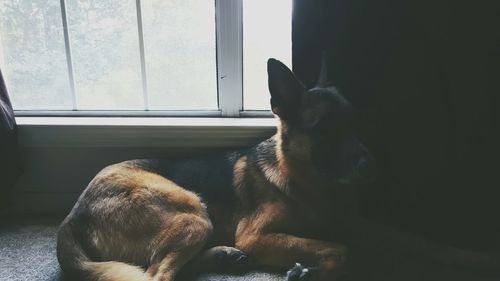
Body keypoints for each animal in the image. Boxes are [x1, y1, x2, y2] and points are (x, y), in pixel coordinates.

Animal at [56, 58, 498, 278]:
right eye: (323, 128)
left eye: (354, 124)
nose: (371, 168)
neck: (308, 184)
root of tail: (70, 217)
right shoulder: (257, 235)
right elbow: (341, 248)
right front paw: (315, 269)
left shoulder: (360, 223)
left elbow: (424, 242)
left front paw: (474, 257)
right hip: (191, 211)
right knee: (154, 275)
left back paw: (223, 257)